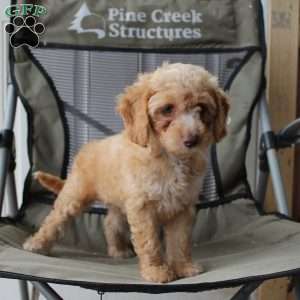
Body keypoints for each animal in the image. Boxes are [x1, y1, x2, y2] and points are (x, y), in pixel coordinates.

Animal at [23, 62, 230, 282]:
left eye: (202, 108)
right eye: (167, 109)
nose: (193, 140)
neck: (171, 157)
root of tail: (87, 149)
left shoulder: (182, 207)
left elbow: (180, 240)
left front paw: (183, 267)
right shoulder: (142, 208)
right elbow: (150, 242)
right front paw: (156, 271)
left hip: (119, 203)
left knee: (110, 223)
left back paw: (118, 250)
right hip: (74, 195)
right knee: (54, 219)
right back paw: (37, 244)